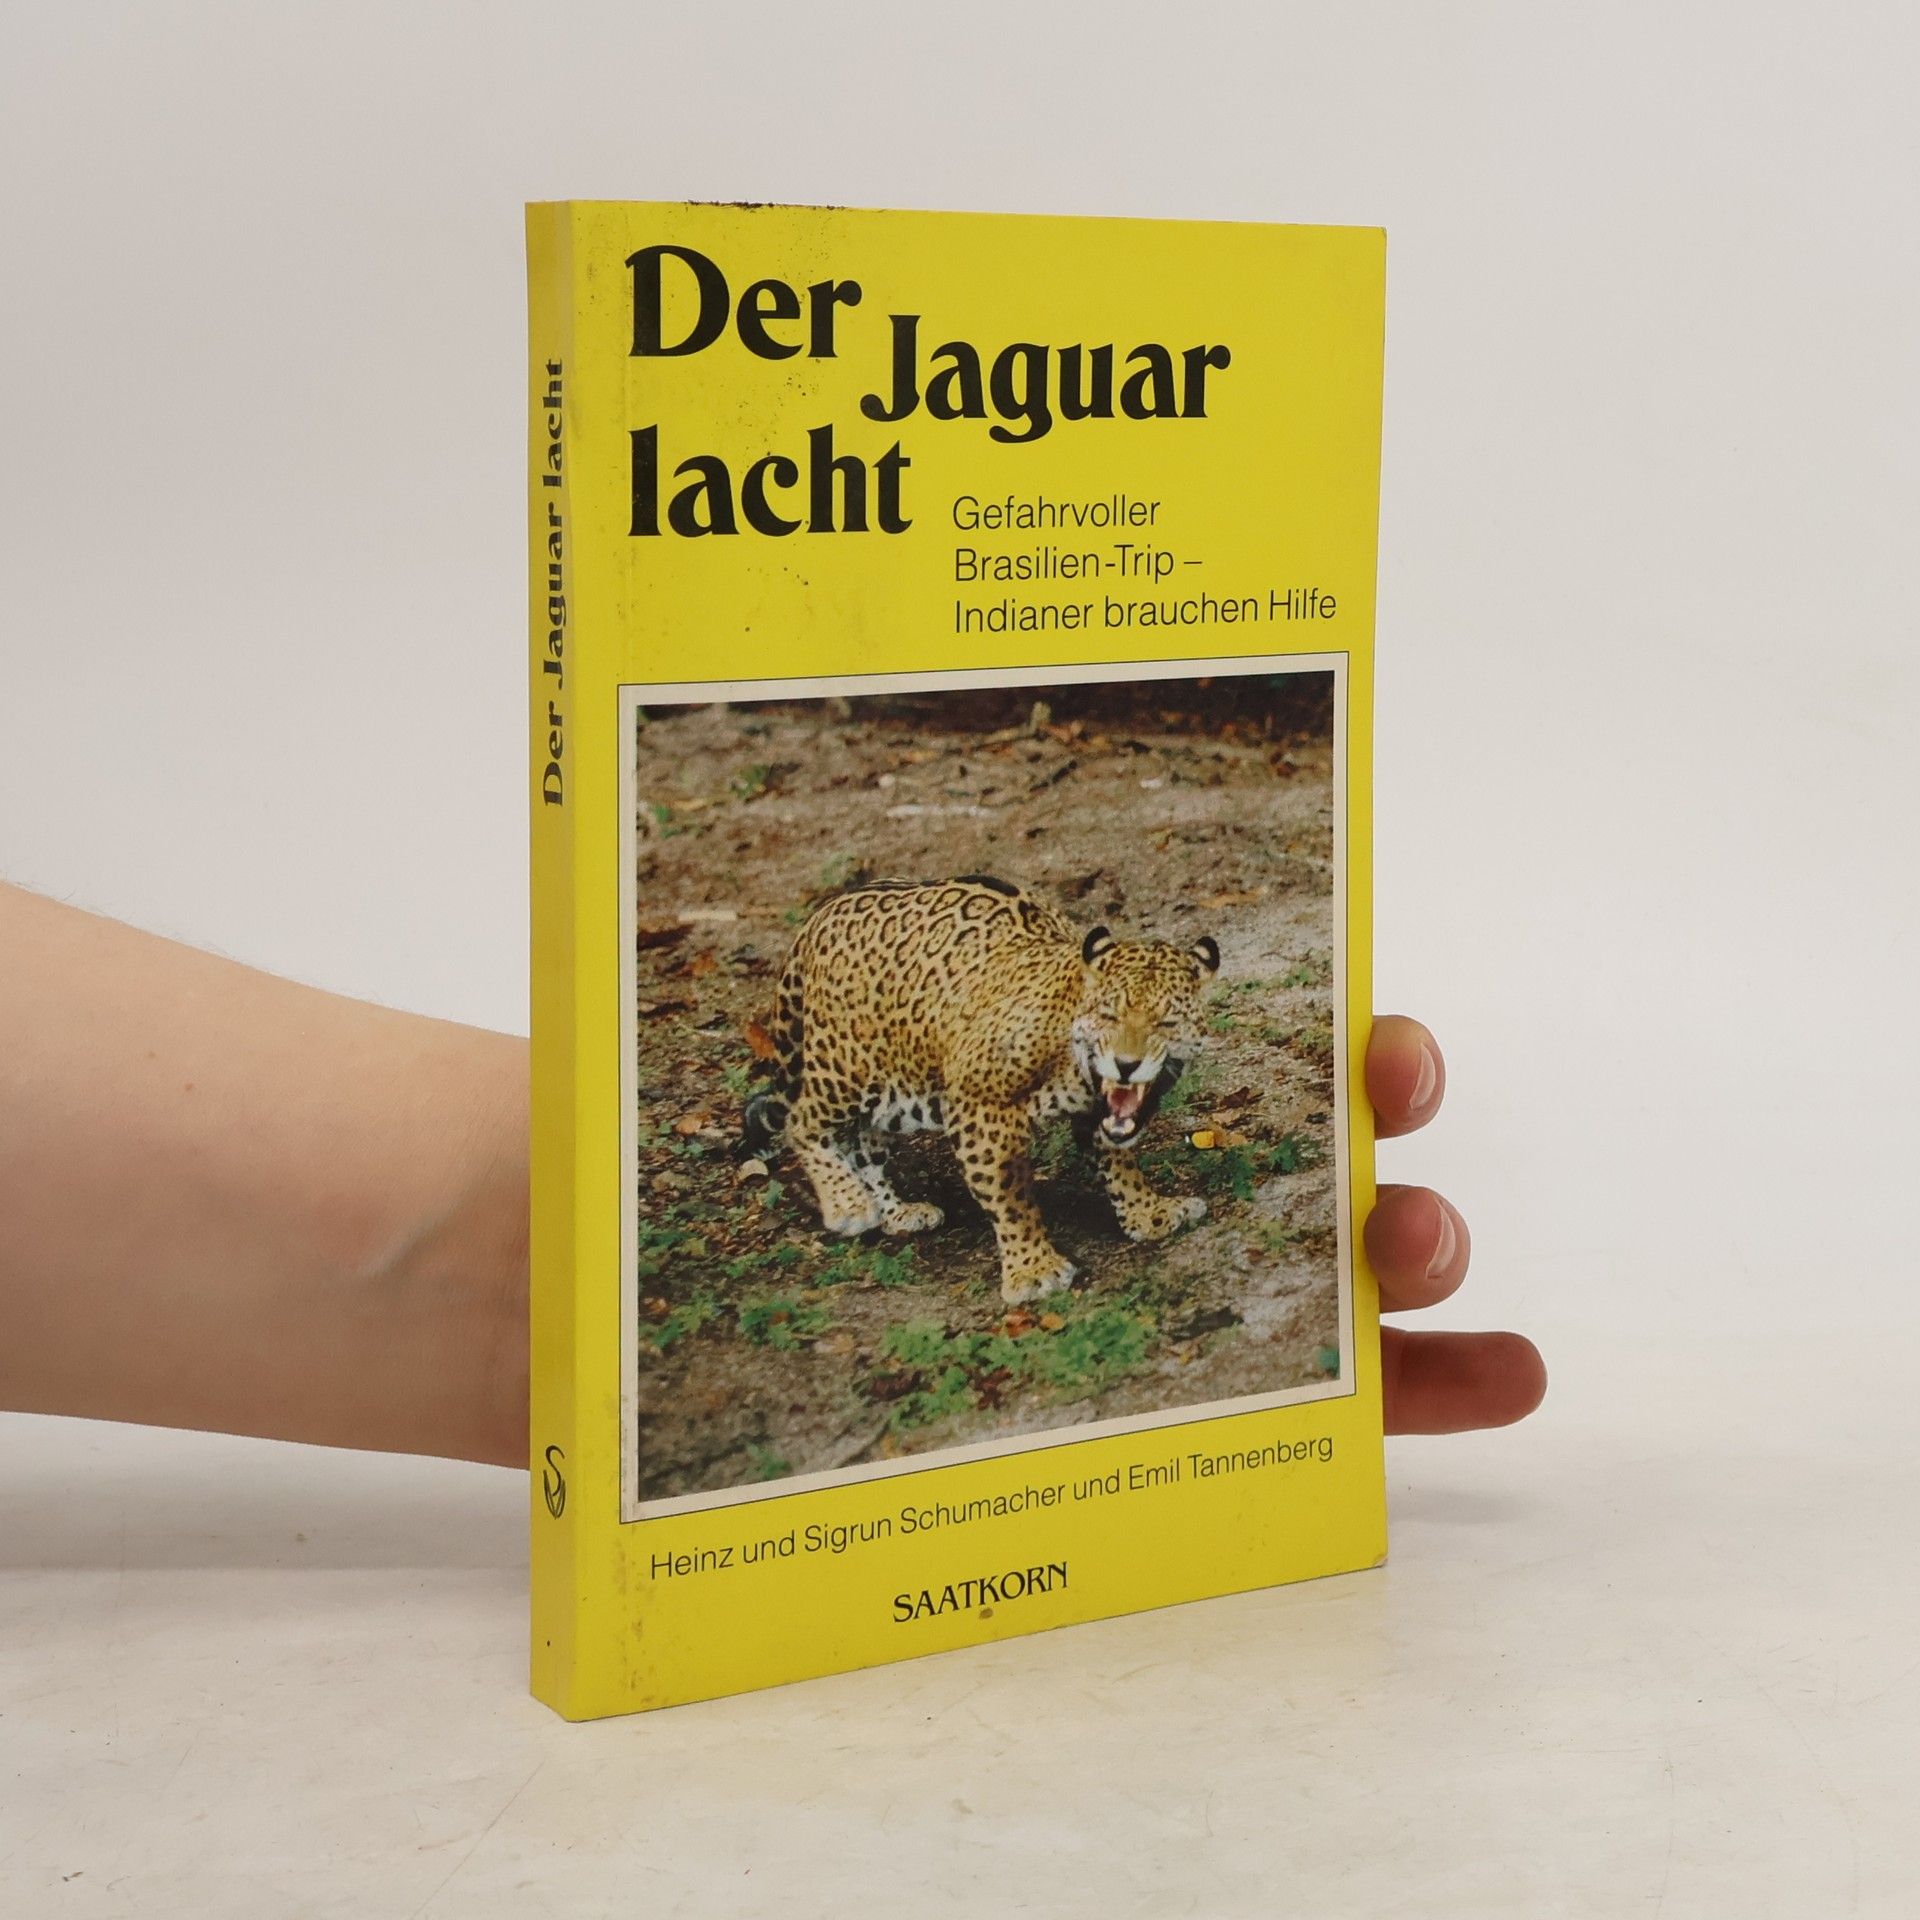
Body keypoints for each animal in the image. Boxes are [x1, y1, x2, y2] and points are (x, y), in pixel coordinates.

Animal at [742, 875, 1219, 1304]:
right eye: (1109, 1016)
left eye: (1166, 1022)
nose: (1126, 1064)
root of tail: (818, 917)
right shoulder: (980, 1107)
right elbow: (1009, 1196)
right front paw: (1034, 1269)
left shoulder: (1100, 1114)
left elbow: (1120, 1164)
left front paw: (1150, 1212)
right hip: (845, 1067)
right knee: (801, 1119)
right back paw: (847, 1205)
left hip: (895, 1093)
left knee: (864, 1143)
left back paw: (897, 1212)